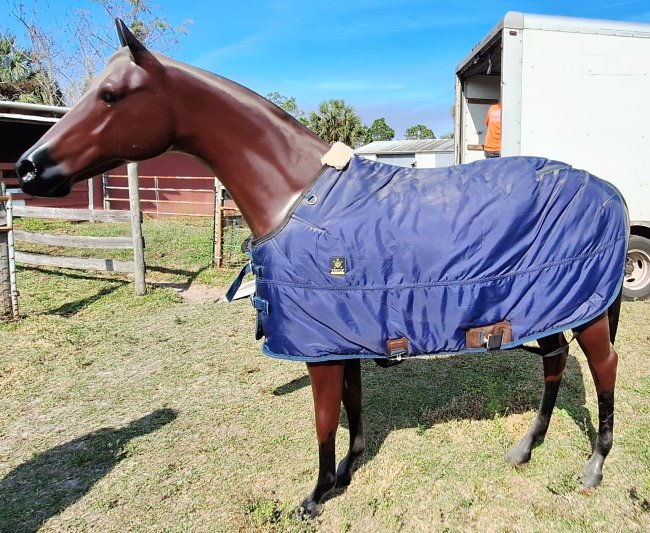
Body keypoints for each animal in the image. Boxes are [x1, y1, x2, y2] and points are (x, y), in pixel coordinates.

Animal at [16, 20, 625, 518]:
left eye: (111, 95)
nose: (28, 167)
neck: (293, 196)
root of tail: (610, 191)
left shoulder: (319, 347)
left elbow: (324, 420)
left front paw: (315, 495)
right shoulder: (341, 335)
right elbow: (351, 409)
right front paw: (347, 474)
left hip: (586, 311)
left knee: (604, 368)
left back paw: (594, 467)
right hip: (545, 309)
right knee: (555, 364)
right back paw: (525, 448)